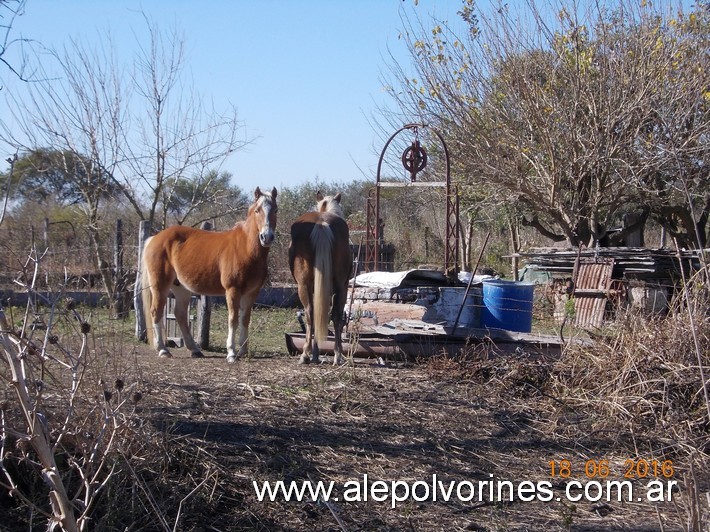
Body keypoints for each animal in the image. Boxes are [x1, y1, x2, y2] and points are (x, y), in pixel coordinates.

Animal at [142, 186, 278, 362]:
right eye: (257, 210)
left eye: (275, 209)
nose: (266, 237)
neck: (246, 248)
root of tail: (154, 238)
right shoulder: (232, 290)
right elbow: (233, 319)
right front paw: (231, 353)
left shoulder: (252, 292)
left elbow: (245, 320)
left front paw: (243, 351)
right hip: (160, 285)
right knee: (156, 312)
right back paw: (163, 350)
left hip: (181, 288)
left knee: (180, 314)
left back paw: (195, 350)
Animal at [290, 192, 354, 366]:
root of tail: (321, 223)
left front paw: (315, 353)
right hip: (339, 286)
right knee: (334, 314)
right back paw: (336, 355)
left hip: (305, 286)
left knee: (311, 313)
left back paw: (306, 354)